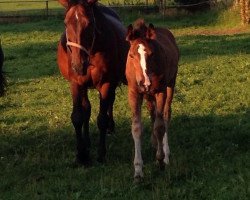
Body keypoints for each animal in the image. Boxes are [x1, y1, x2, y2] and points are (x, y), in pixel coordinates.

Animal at [56, 0, 127, 164]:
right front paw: (81, 154)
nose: (78, 65)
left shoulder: (106, 83)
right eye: (65, 23)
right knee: (86, 109)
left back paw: (110, 127)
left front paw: (101, 154)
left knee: (110, 102)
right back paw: (87, 141)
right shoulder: (76, 83)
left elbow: (101, 119)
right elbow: (78, 116)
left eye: (89, 23)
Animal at [126, 19, 179, 181]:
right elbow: (136, 127)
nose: (145, 82)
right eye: (131, 55)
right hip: (148, 95)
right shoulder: (134, 93)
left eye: (151, 53)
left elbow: (159, 126)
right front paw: (138, 171)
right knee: (153, 113)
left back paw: (166, 154)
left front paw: (161, 160)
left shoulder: (160, 91)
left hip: (170, 85)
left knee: (166, 115)